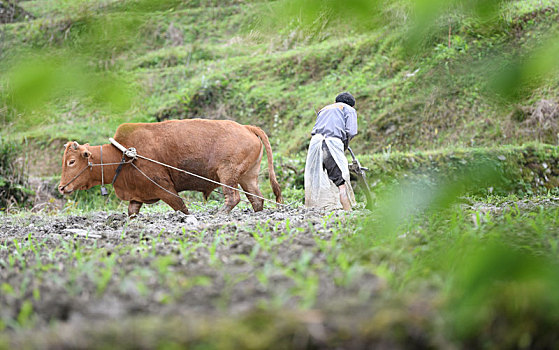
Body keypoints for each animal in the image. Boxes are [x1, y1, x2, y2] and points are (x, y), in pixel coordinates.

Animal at [59, 119, 282, 216]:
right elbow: (132, 212)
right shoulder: (136, 195)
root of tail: (246, 128)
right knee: (257, 199)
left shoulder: (165, 189)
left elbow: (182, 207)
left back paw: (219, 214)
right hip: (247, 177)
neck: (123, 155)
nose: (61, 187)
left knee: (233, 198)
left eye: (71, 161)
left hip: (227, 174)